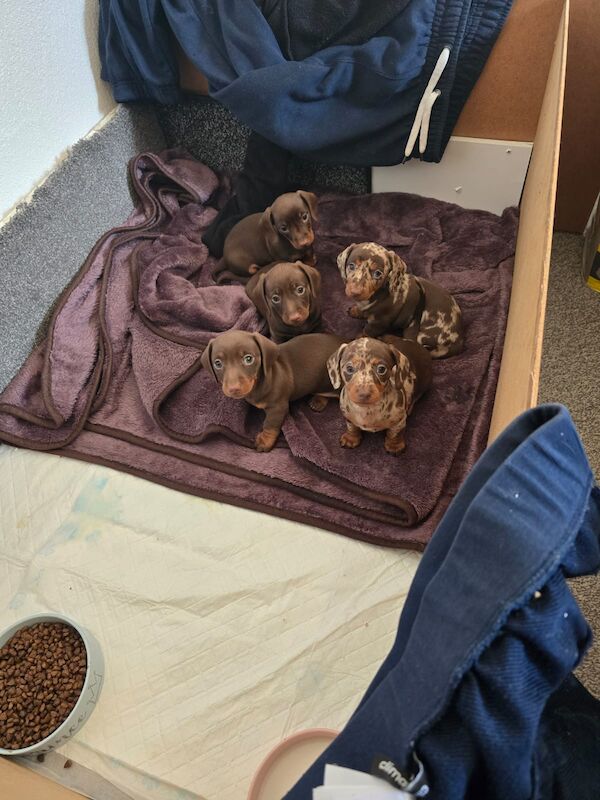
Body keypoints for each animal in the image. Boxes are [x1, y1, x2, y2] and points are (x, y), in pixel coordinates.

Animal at [200, 326, 344, 450]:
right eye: (218, 363)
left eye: (248, 359)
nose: (233, 388)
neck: (259, 383)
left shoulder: (278, 407)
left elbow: (270, 424)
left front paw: (265, 441)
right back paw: (318, 400)